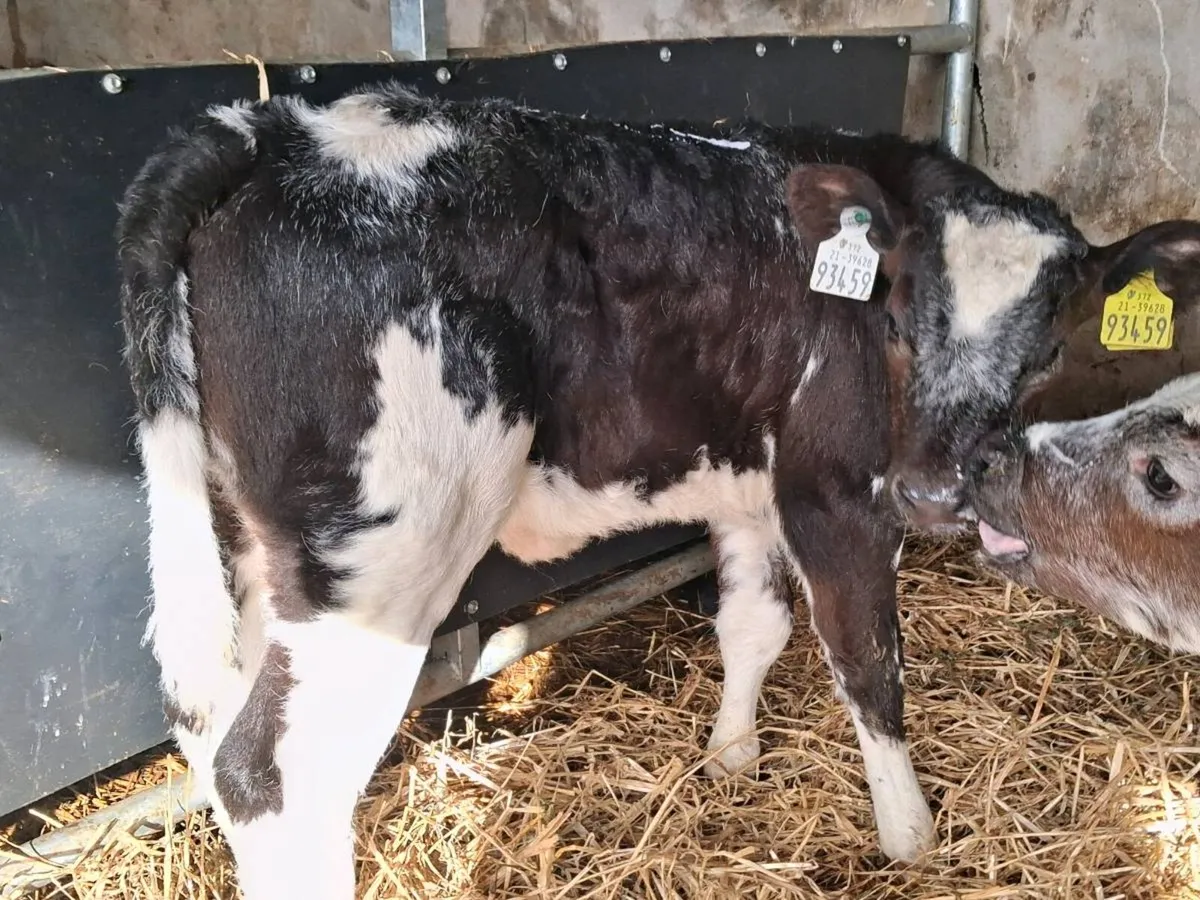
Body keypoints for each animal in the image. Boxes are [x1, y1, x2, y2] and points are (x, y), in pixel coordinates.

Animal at [116, 82, 1136, 898]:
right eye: (898, 309)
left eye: (1048, 344)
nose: (936, 491)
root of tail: (271, 128)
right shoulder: (838, 490)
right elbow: (867, 660)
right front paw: (912, 839)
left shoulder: (746, 483)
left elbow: (753, 626)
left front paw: (730, 757)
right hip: (386, 551)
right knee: (273, 774)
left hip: (263, 546)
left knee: (220, 723)